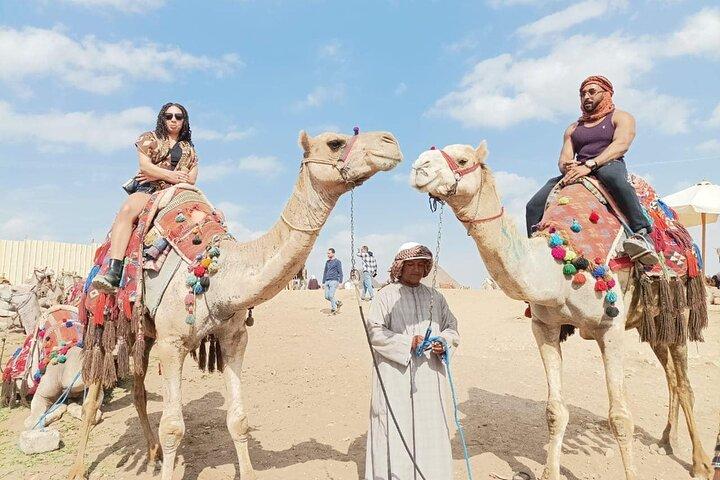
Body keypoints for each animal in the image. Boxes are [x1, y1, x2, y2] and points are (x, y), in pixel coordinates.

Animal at [68, 129, 402, 480]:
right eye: (334, 143)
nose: (390, 141)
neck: (220, 271)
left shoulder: (234, 337)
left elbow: (238, 420)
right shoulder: (172, 342)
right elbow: (173, 427)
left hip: (144, 332)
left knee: (138, 390)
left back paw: (153, 455)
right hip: (106, 320)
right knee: (94, 393)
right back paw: (79, 468)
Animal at [410, 142, 712, 480]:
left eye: (462, 160)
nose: (419, 167)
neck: (560, 264)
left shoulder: (611, 327)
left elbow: (620, 417)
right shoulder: (544, 326)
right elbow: (555, 411)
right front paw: (549, 471)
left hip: (679, 306)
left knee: (684, 383)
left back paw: (700, 462)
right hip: (654, 321)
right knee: (670, 375)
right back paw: (666, 441)